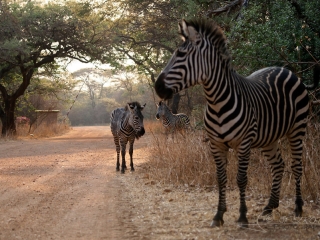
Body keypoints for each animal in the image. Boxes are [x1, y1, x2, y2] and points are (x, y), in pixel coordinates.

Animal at [154, 18, 318, 227]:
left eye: (181, 54)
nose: (157, 87)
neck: (216, 102)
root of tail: (285, 70)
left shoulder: (244, 143)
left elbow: (241, 179)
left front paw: (242, 216)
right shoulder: (216, 144)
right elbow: (221, 178)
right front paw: (219, 215)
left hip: (297, 129)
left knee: (297, 165)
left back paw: (297, 207)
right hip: (269, 138)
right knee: (278, 165)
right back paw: (269, 207)